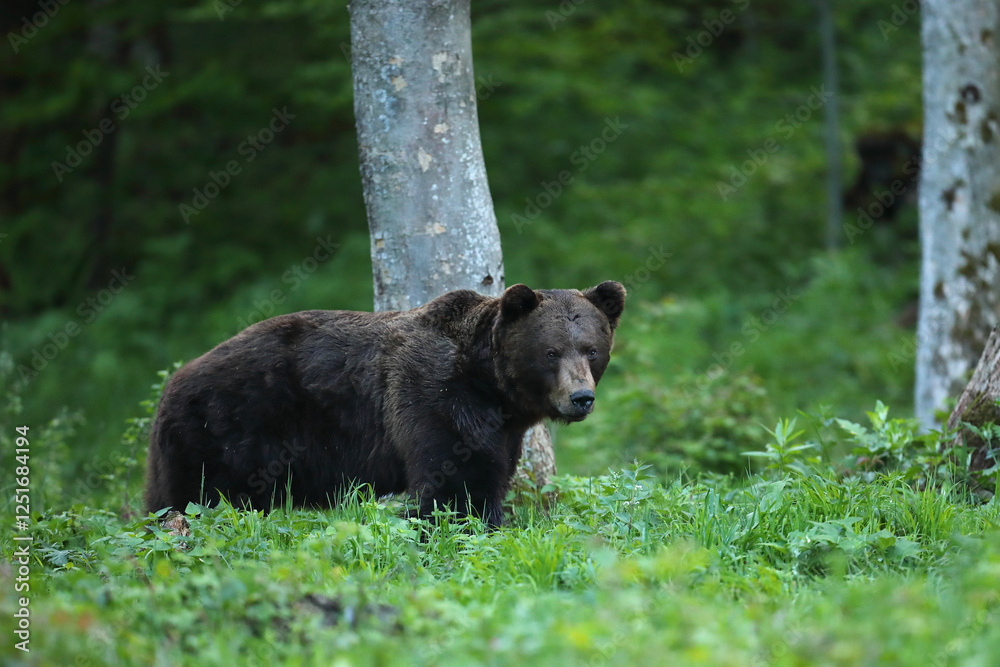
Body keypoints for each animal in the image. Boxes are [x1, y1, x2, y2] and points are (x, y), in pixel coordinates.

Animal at [144, 280, 625, 527]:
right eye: (551, 352)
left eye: (591, 350)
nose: (580, 397)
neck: (490, 385)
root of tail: (172, 383)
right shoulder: (435, 396)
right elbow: (455, 485)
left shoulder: (501, 429)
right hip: (225, 430)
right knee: (192, 499)